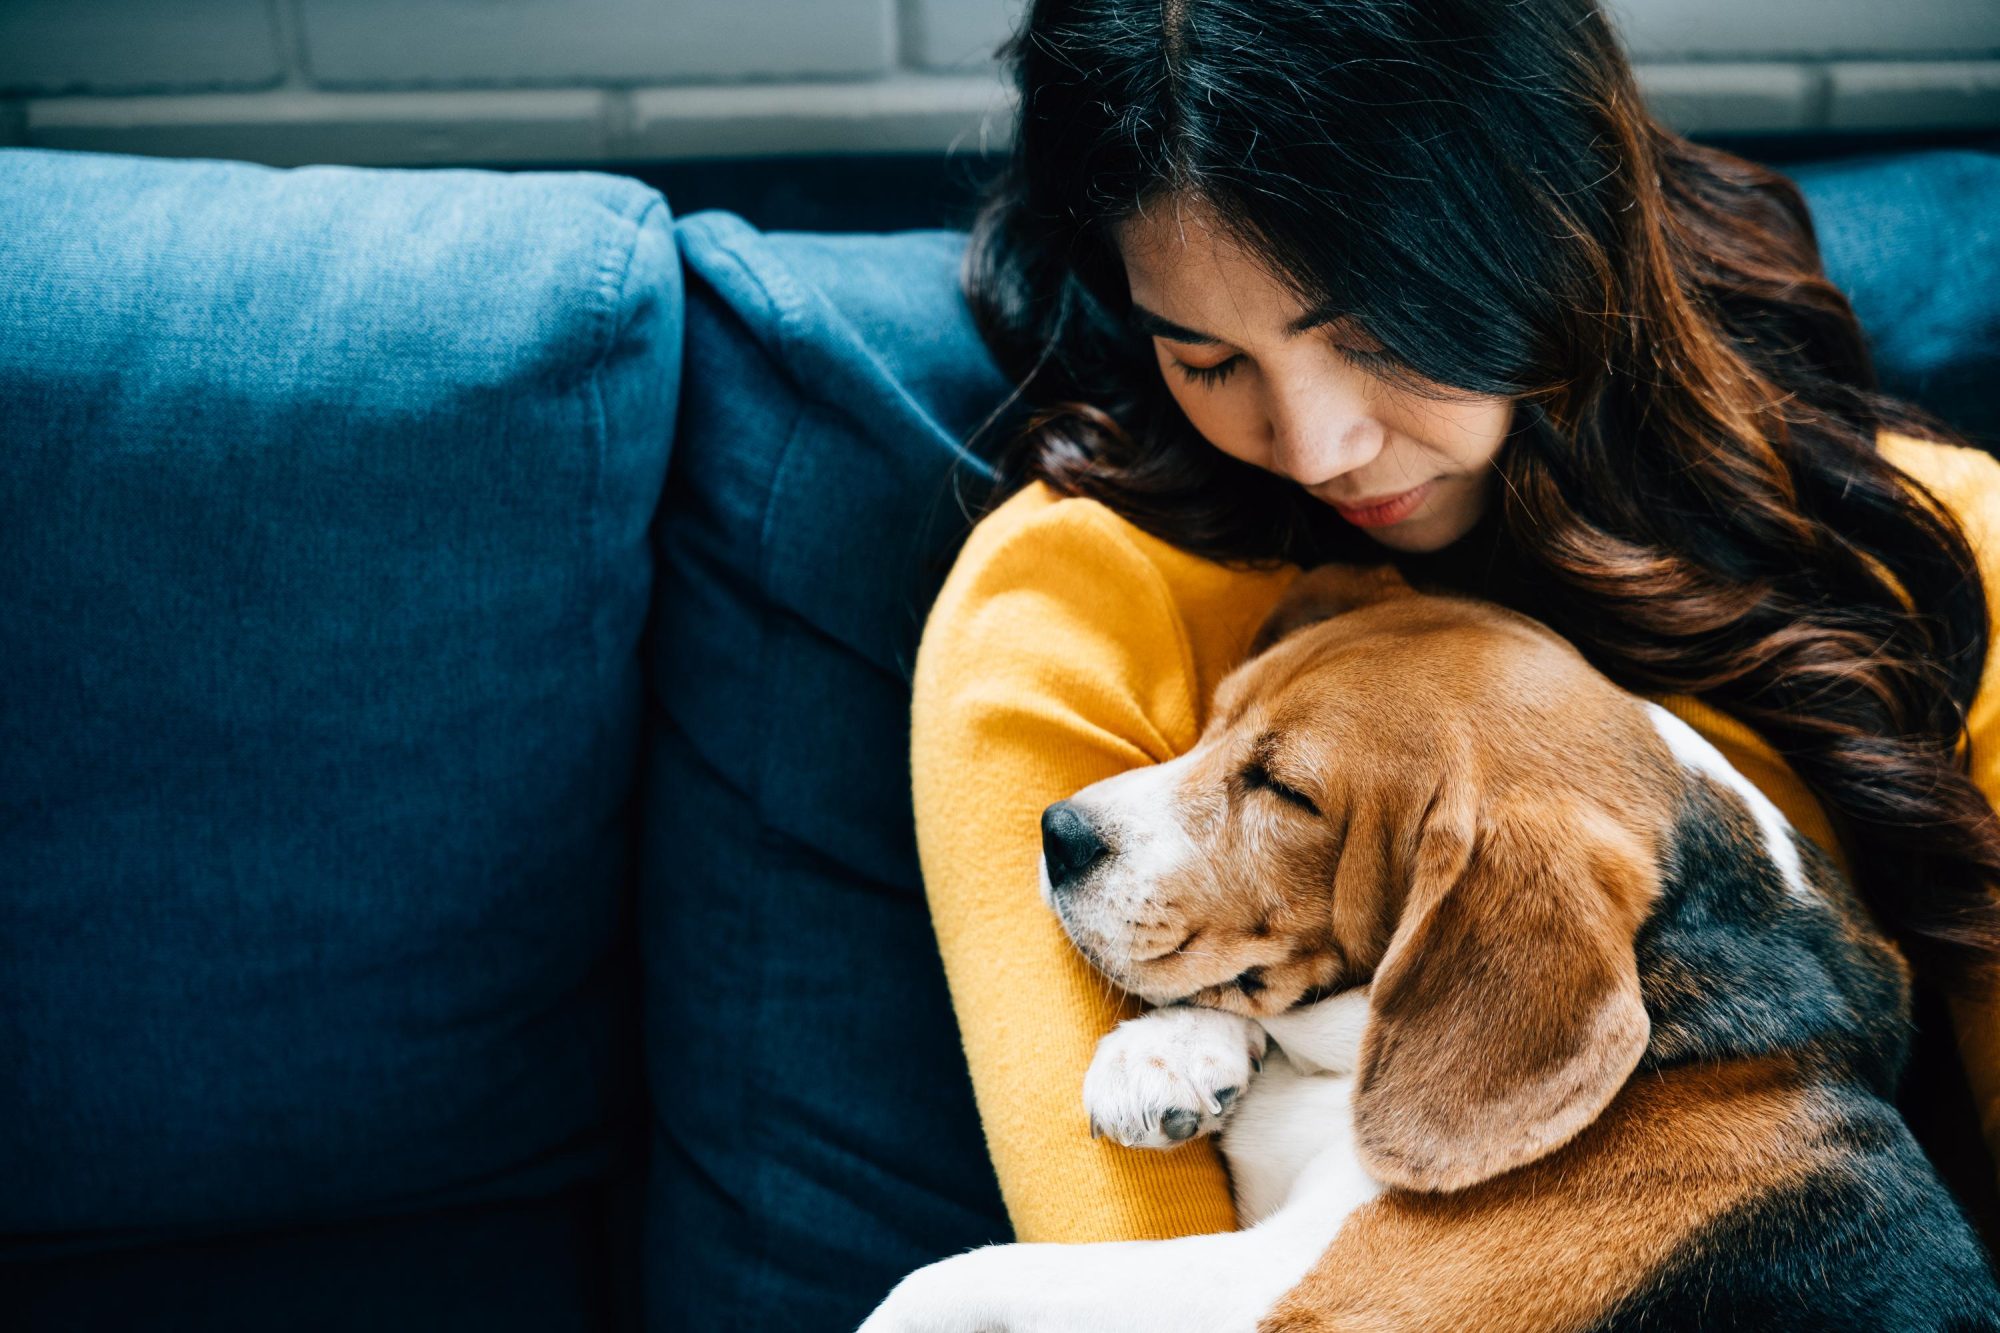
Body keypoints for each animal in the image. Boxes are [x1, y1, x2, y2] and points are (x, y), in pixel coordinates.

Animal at [868, 564, 2000, 1328]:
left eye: (1286, 791)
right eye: (1217, 718)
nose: (1058, 833)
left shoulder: (1282, 1295)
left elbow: (957, 1273)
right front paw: (1165, 1055)